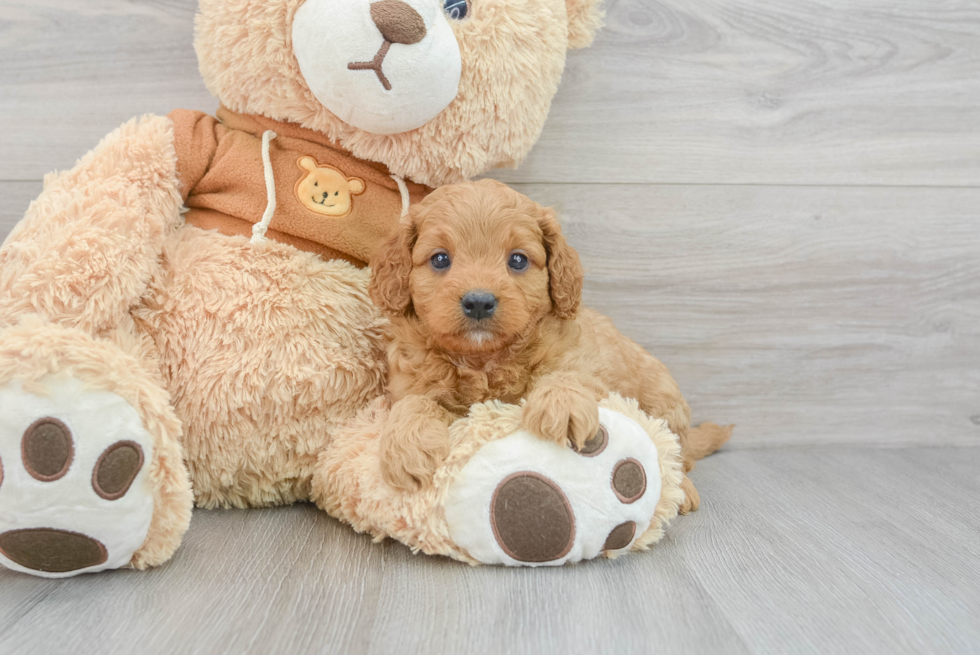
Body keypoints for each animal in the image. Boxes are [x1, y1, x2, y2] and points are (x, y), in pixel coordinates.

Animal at [368, 181, 728, 512]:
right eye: (440, 259)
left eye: (517, 260)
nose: (479, 302)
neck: (484, 360)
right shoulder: (410, 382)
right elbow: (413, 403)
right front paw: (408, 445)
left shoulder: (583, 363)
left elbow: (567, 376)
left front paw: (562, 406)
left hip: (664, 402)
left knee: (676, 454)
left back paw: (683, 489)